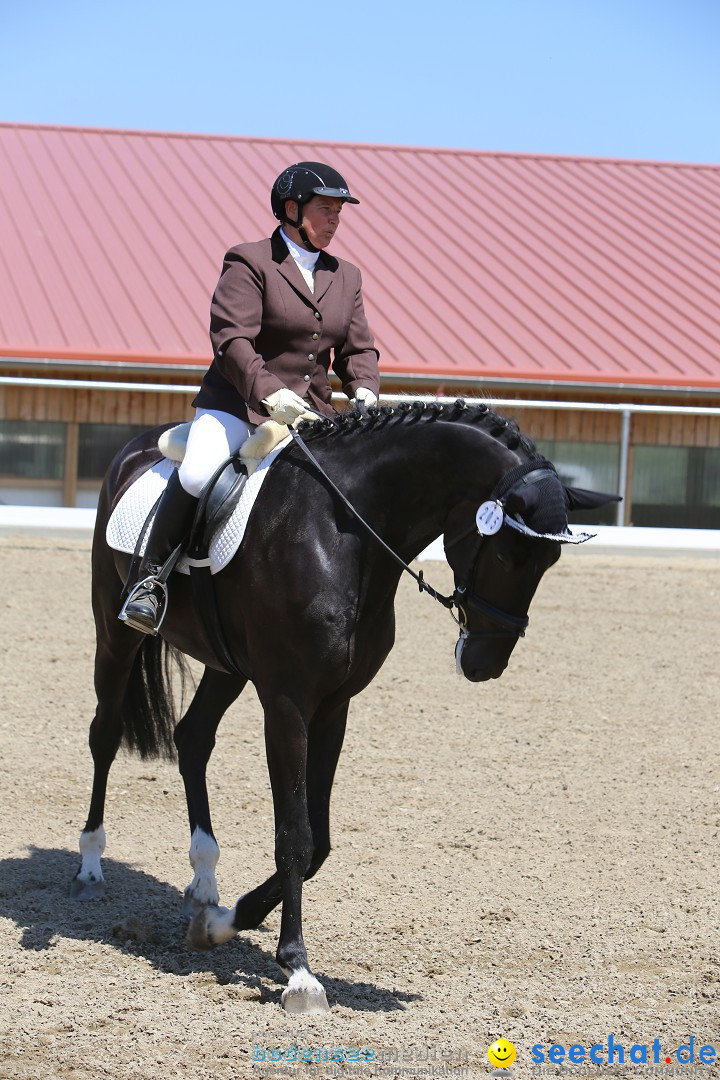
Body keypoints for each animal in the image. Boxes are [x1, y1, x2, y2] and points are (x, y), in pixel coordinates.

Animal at [71, 397, 613, 1010]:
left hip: (227, 664)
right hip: (114, 629)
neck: (340, 533)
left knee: (193, 738)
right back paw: (90, 865)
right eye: (510, 553)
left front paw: (224, 923)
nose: (484, 664)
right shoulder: (287, 702)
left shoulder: (335, 706)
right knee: (105, 733)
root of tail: (137, 445)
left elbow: (319, 841)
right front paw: (298, 971)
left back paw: (205, 883)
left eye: (548, 563)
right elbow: (294, 834)